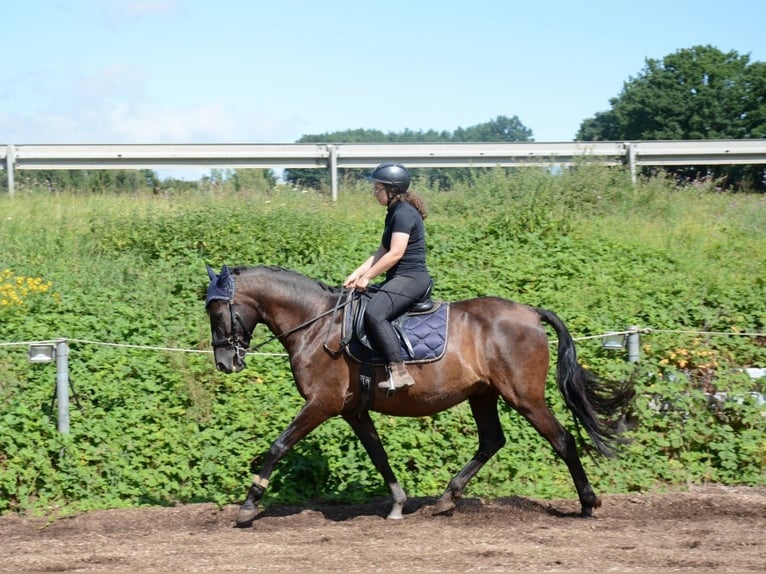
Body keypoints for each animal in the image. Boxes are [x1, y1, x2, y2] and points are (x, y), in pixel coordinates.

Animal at [205, 264, 634, 526]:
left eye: (217, 312)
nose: (225, 362)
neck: (316, 325)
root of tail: (530, 312)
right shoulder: (353, 411)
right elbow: (378, 455)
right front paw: (397, 503)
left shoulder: (322, 404)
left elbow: (278, 446)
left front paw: (248, 506)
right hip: (483, 394)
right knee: (492, 440)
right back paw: (447, 499)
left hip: (524, 397)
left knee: (562, 439)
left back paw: (587, 503)